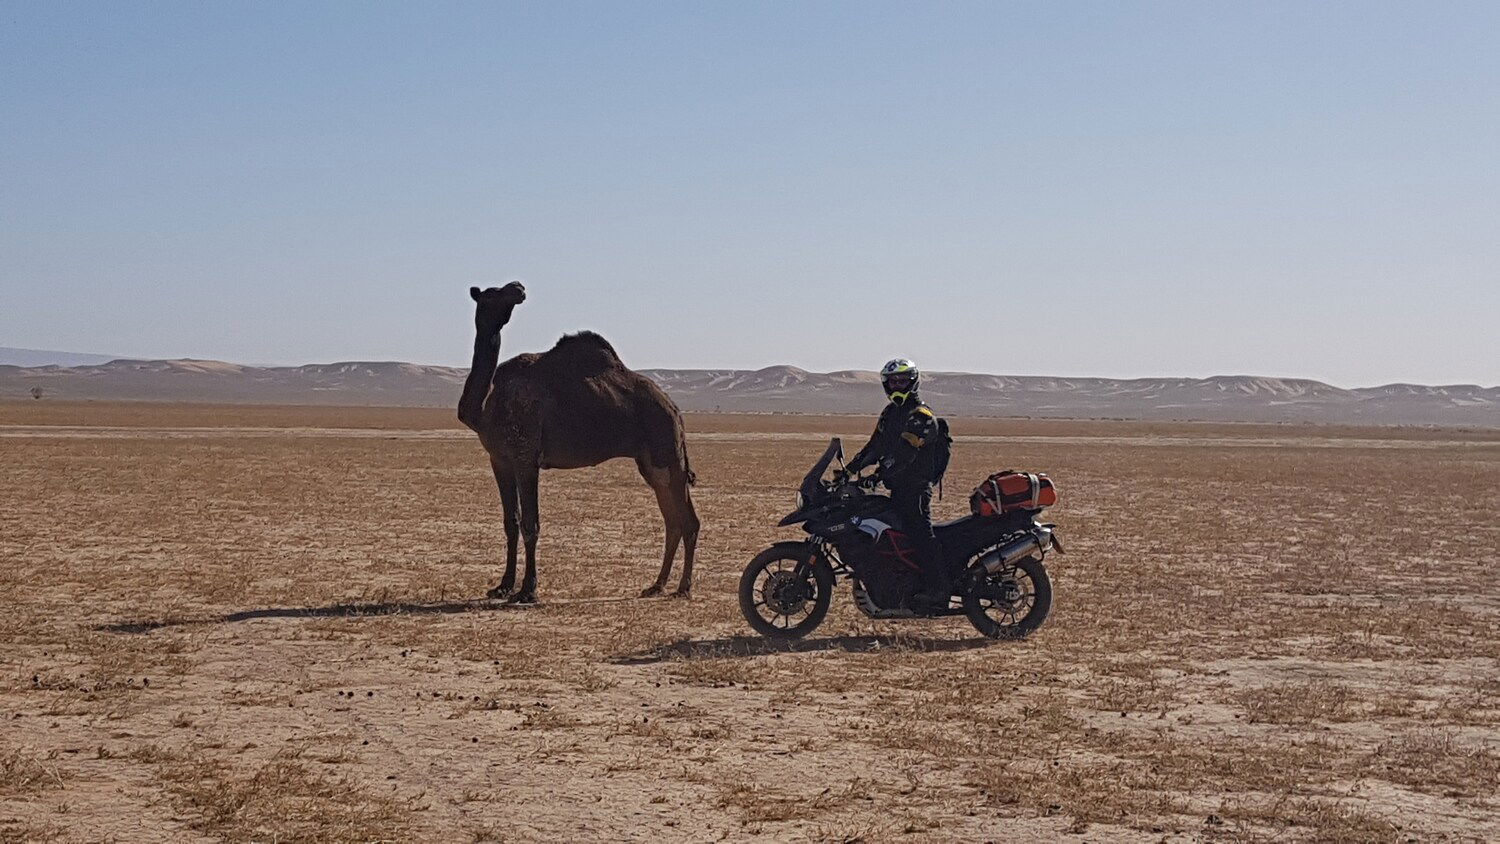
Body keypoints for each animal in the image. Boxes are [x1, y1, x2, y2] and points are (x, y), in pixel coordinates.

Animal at [459, 287, 699, 605]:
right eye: (491, 294)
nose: (518, 288)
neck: (487, 404)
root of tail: (674, 408)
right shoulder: (499, 459)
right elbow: (511, 522)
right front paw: (503, 586)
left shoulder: (525, 456)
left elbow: (530, 524)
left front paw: (528, 590)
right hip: (651, 463)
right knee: (673, 521)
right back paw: (656, 585)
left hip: (667, 451)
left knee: (688, 520)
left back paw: (683, 587)